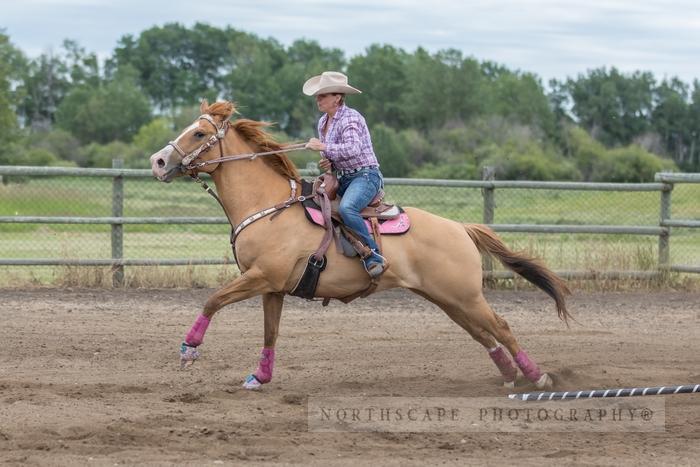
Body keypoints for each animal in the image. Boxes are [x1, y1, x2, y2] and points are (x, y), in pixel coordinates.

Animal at [150, 101, 572, 392]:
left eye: (198, 134)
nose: (158, 161)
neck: (268, 207)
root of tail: (460, 228)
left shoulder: (260, 277)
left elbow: (213, 300)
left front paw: (189, 351)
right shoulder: (272, 287)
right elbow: (270, 333)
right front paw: (260, 377)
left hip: (464, 296)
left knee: (500, 326)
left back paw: (538, 378)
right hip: (449, 299)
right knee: (483, 334)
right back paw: (511, 375)